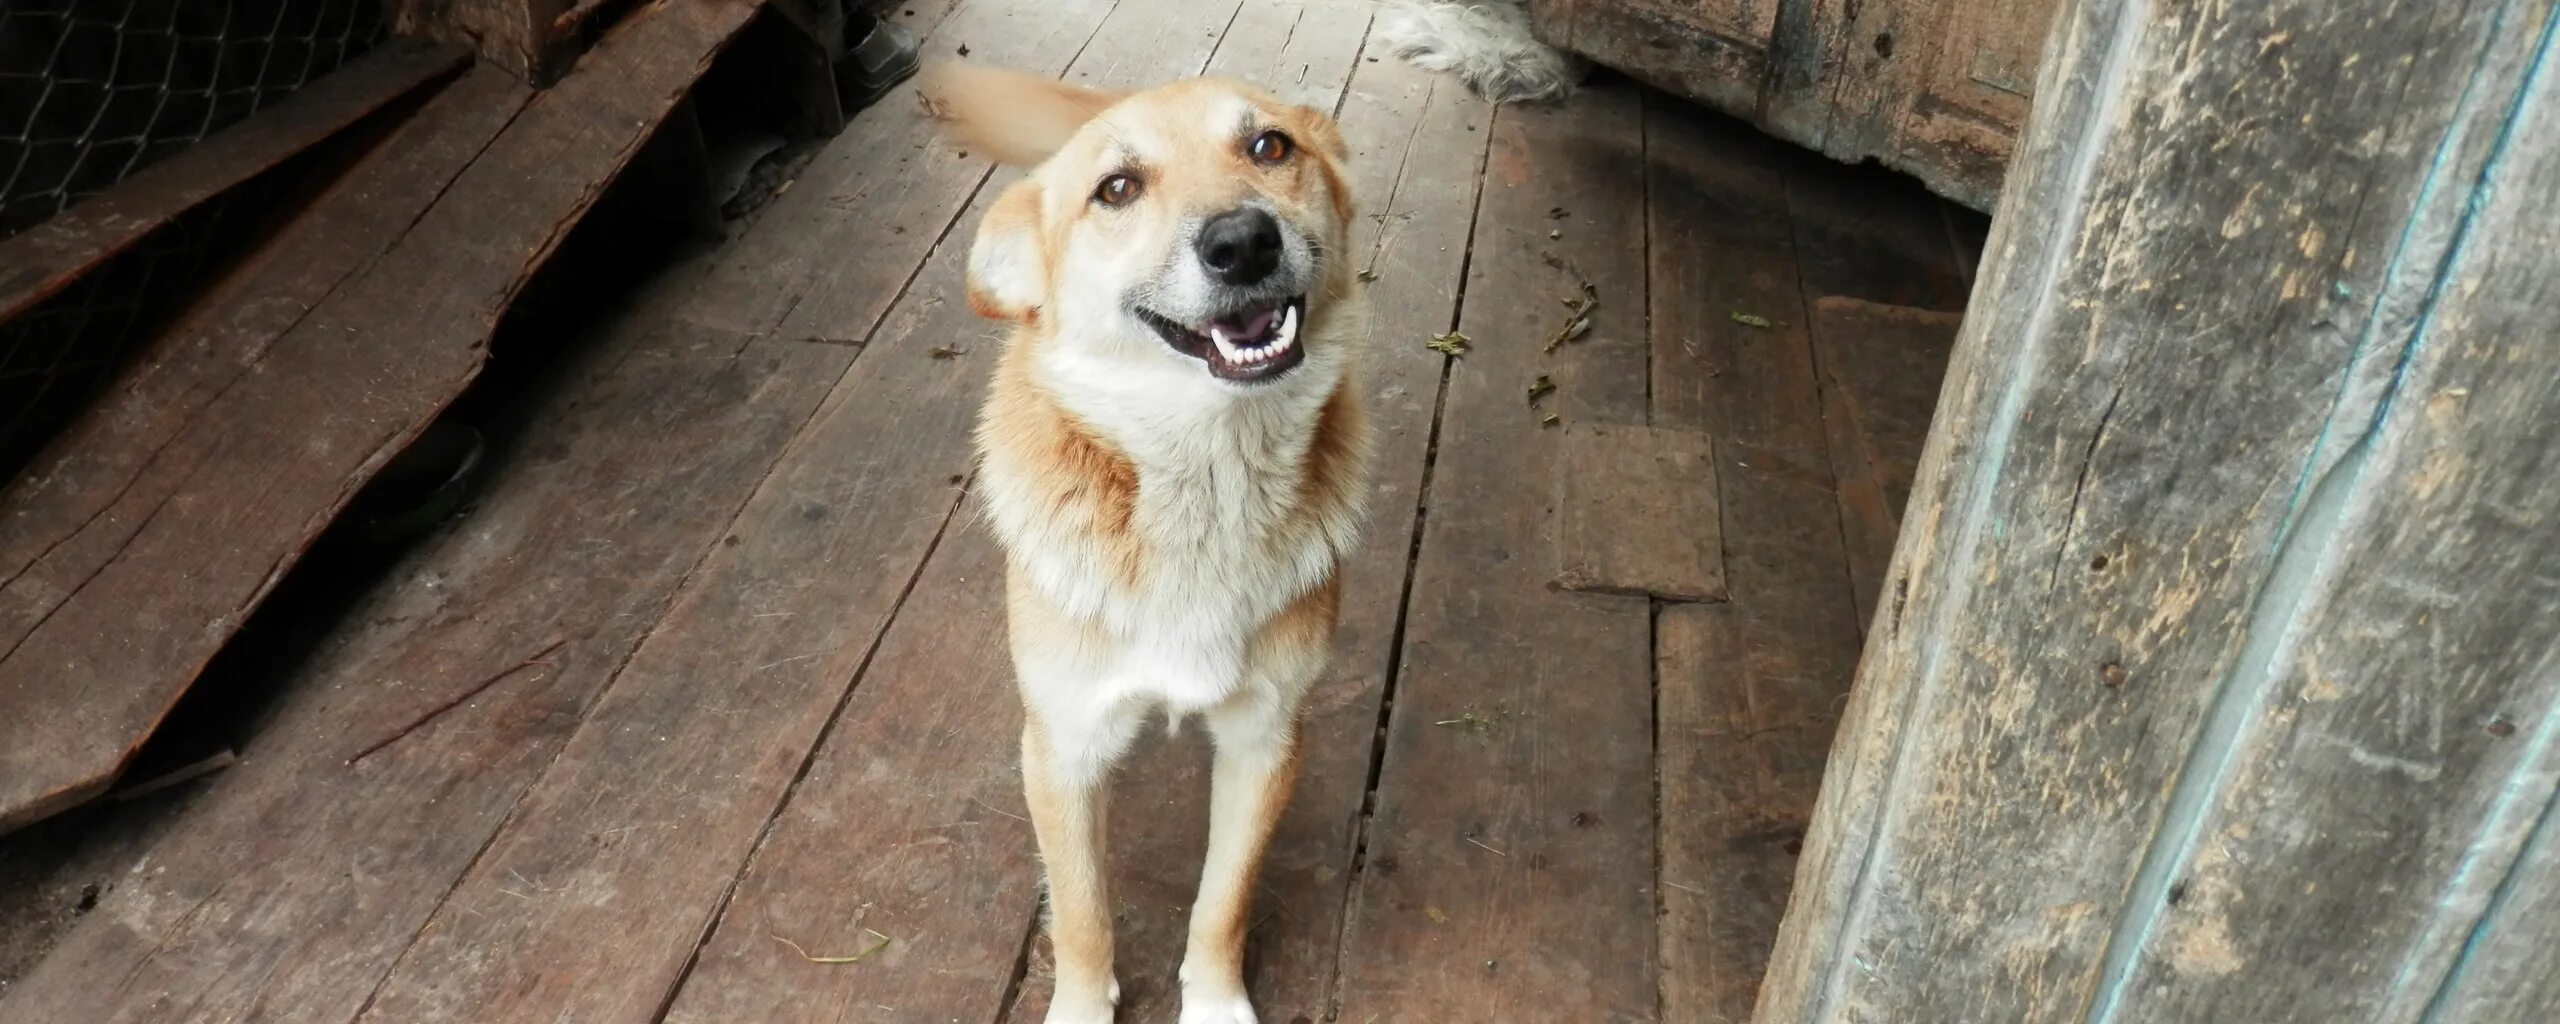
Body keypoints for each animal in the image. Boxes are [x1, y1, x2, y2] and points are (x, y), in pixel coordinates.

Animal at [916, 65, 1372, 1024]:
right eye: (1117, 190)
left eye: (1269, 145)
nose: (1243, 243)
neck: (1201, 473)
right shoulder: (1061, 748)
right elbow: (1083, 914)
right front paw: (1085, 1007)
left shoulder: (1266, 740)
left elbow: (1222, 903)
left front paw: (1215, 1003)